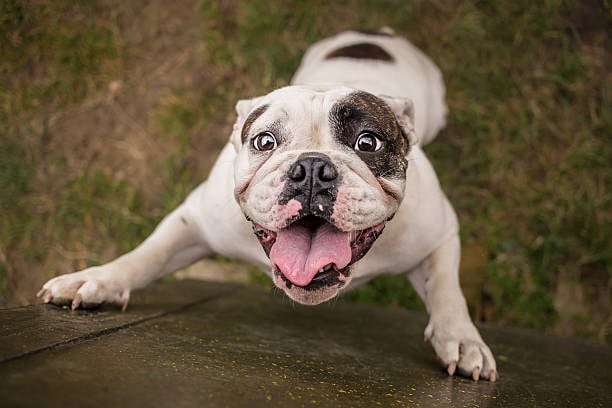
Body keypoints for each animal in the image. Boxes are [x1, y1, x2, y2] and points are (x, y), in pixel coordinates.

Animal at [37, 27, 498, 380]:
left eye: (369, 142)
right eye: (264, 141)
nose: (311, 168)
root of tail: (376, 33)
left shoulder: (440, 232)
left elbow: (447, 289)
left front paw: (462, 339)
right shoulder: (195, 222)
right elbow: (149, 254)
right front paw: (97, 280)